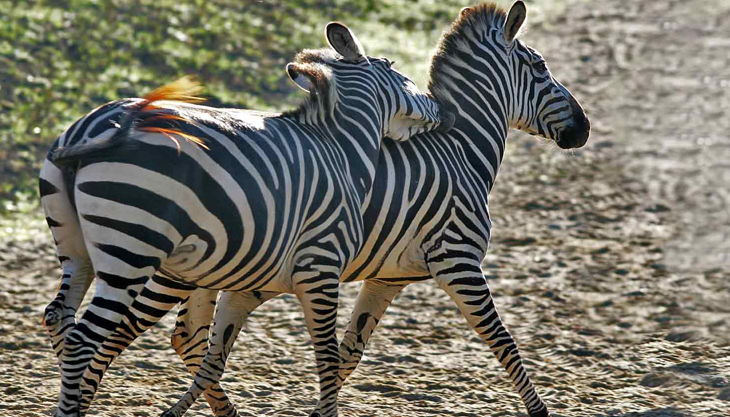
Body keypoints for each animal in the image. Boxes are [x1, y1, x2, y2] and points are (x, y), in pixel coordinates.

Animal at [40, 22, 453, 417]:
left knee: (59, 318)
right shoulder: (320, 265)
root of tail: (94, 127)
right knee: (84, 338)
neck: (342, 149)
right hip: (131, 246)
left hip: (76, 248)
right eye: (398, 71)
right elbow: (327, 355)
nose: (444, 112)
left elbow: (213, 347)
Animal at [159, 2, 590, 417]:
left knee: (186, 335)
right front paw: (539, 410)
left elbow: (349, 352)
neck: (462, 151)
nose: (584, 128)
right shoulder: (458, 260)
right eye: (540, 67)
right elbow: (503, 340)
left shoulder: (387, 277)